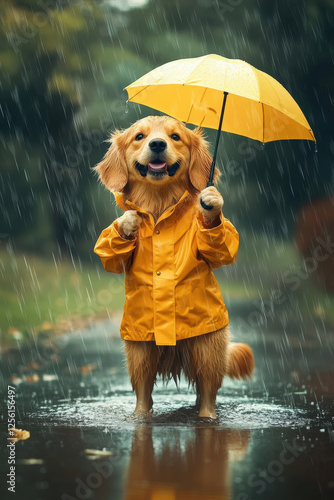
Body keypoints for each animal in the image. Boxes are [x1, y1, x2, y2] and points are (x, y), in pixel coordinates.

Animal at [93, 114, 253, 418]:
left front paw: (211, 207)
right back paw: (140, 416)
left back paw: (206, 416)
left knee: (207, 390)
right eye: (139, 136)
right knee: (143, 392)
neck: (160, 206)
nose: (157, 144)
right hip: (139, 354)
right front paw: (128, 223)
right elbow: (109, 257)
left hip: (208, 347)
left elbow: (223, 247)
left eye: (175, 136)